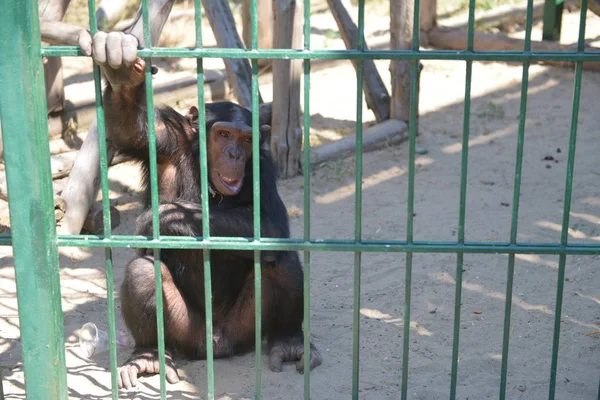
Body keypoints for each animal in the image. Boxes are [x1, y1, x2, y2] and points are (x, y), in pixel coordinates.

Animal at [89, 32, 322, 390]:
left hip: (245, 330)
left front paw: (161, 218)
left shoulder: (263, 164)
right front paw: (121, 71)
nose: (234, 154)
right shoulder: (166, 139)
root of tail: (215, 345)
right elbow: (133, 129)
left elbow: (271, 224)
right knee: (143, 272)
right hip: (185, 331)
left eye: (246, 139)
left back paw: (289, 342)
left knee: (279, 258)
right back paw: (148, 356)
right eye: (223, 134)